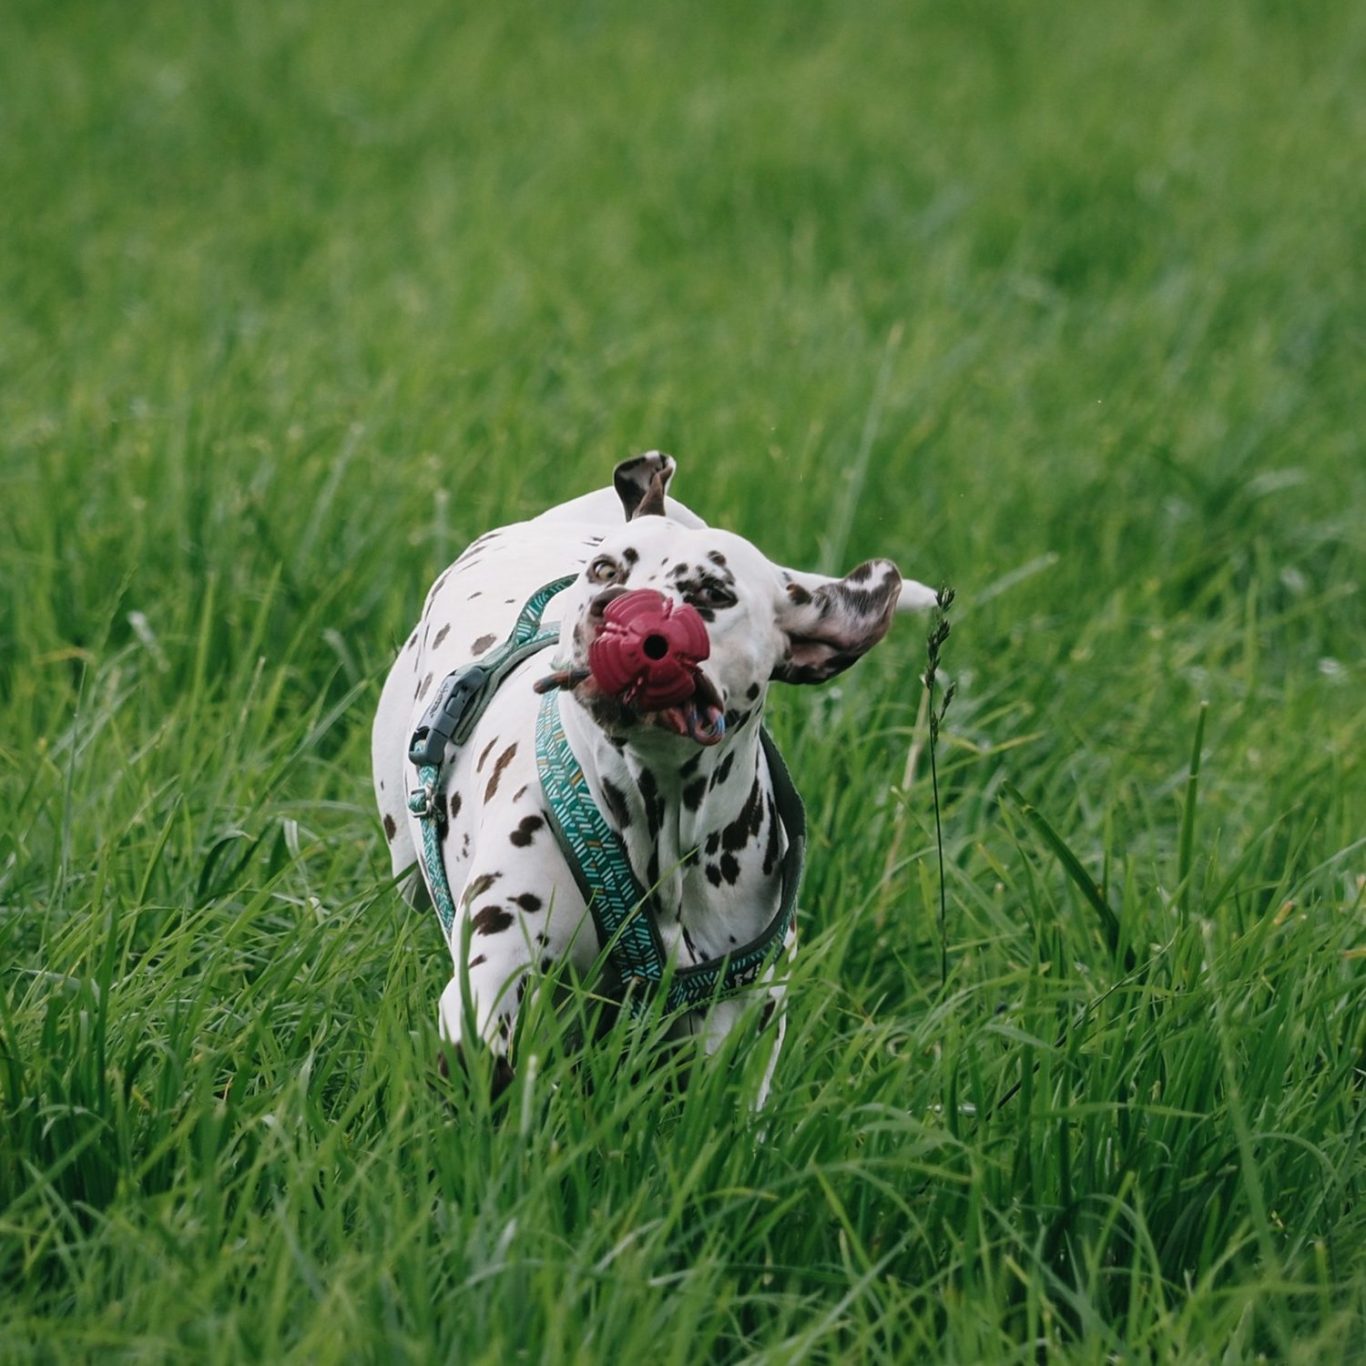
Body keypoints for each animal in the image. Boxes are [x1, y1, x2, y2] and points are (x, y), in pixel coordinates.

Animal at [371, 452, 935, 1103]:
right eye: (606, 568)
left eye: (712, 592)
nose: (615, 608)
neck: (656, 826)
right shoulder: (491, 979)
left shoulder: (736, 1030)